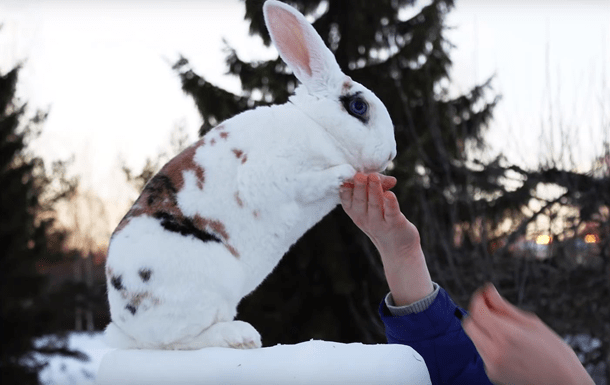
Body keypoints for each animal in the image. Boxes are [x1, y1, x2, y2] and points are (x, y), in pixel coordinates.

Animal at [104, 0, 396, 350]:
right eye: (358, 107)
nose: (391, 154)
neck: (320, 128)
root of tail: (125, 323)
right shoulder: (273, 175)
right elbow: (311, 182)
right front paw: (345, 173)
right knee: (179, 341)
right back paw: (243, 337)